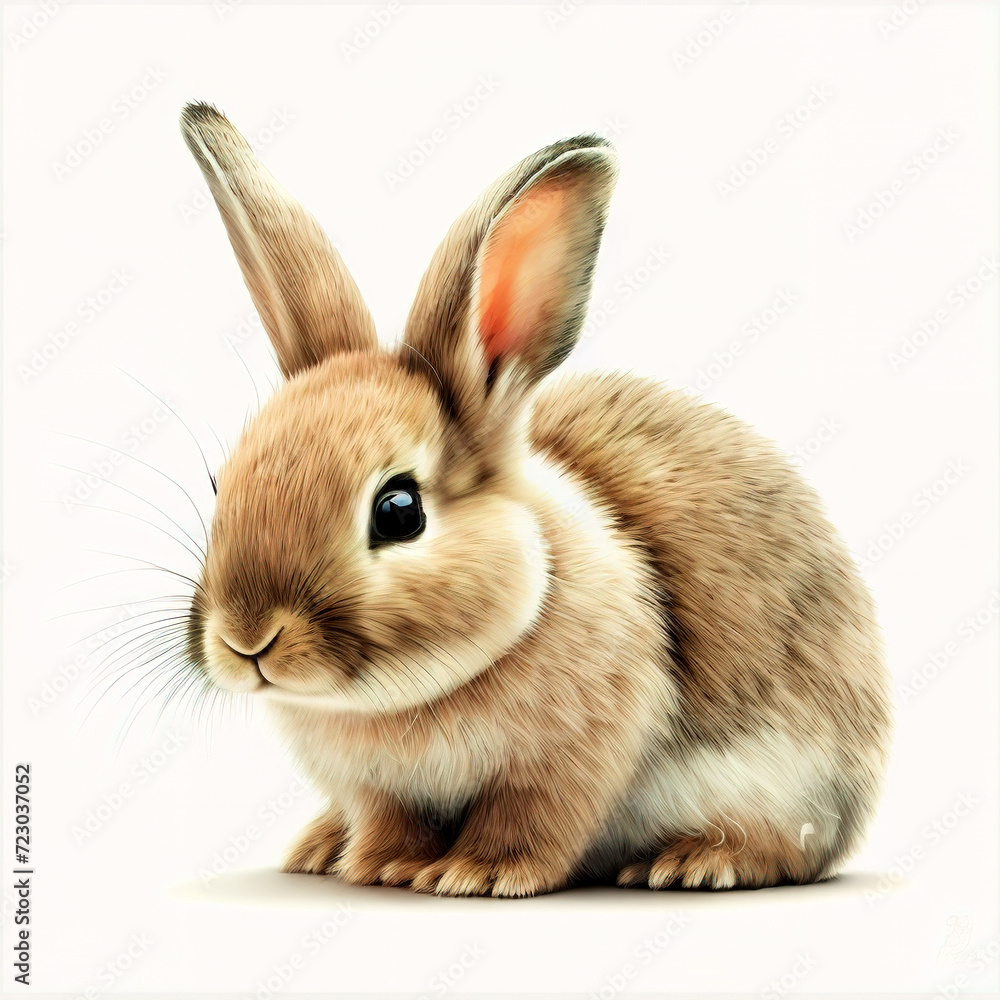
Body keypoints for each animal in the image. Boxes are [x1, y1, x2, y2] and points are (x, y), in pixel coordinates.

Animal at [178, 102, 891, 897]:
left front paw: (477, 874)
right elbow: (393, 818)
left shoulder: (569, 759)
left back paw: (696, 862)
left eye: (398, 510)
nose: (247, 640)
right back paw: (319, 848)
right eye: (222, 484)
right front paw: (385, 867)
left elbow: (532, 817)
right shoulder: (380, 789)